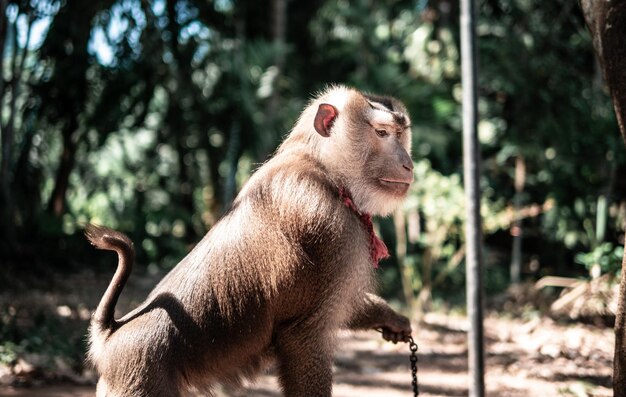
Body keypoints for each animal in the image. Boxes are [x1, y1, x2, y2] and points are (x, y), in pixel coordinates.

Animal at [84, 85, 414, 394]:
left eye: (400, 134)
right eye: (382, 133)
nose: (409, 164)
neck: (325, 170)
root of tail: (112, 338)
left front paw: (390, 318)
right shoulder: (333, 230)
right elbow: (303, 337)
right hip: (142, 383)